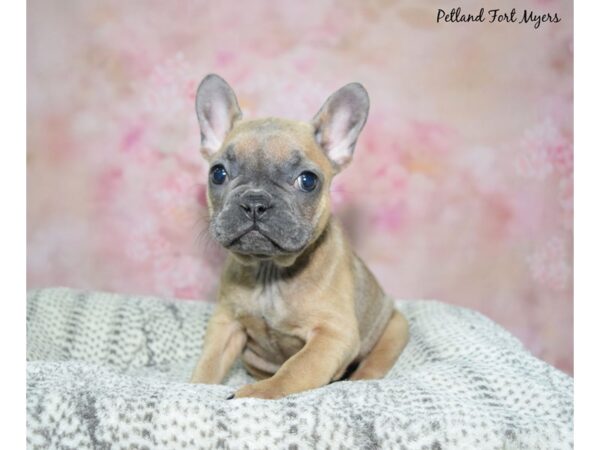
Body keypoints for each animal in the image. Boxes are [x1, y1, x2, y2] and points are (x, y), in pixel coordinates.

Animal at [190, 74, 410, 400]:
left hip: (395, 327)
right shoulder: (226, 324)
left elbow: (295, 369)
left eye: (308, 180)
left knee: (374, 364)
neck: (270, 271)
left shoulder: (332, 335)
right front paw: (194, 386)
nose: (255, 201)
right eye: (218, 174)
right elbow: (208, 363)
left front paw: (255, 393)